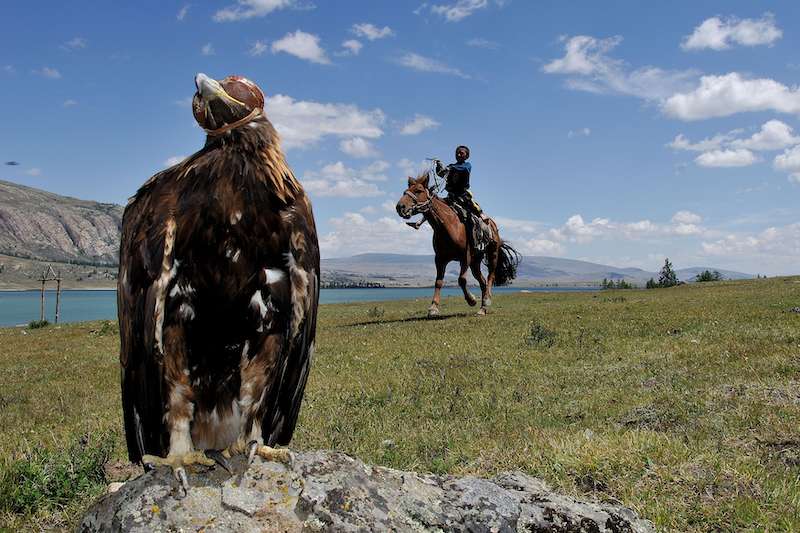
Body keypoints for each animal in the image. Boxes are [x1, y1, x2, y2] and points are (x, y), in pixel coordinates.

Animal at [394, 170, 520, 316]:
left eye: (418, 190)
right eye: (405, 191)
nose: (400, 207)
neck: (448, 226)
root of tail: (493, 225)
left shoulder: (465, 256)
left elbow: (462, 279)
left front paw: (471, 300)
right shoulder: (440, 259)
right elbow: (438, 282)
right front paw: (433, 307)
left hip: (492, 254)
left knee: (490, 276)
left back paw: (486, 301)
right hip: (475, 262)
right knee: (482, 281)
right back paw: (482, 308)